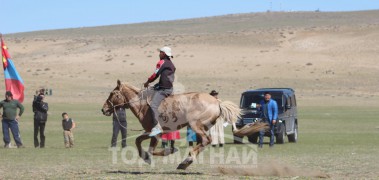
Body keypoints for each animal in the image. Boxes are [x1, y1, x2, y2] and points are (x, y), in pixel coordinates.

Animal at [101, 80, 243, 170]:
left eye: (113, 94)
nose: (103, 109)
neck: (143, 105)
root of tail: (217, 102)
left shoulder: (156, 133)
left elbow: (151, 150)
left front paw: (167, 151)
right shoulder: (150, 131)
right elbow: (138, 141)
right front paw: (146, 157)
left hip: (196, 125)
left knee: (206, 140)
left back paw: (187, 160)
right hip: (203, 127)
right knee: (204, 142)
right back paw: (185, 163)